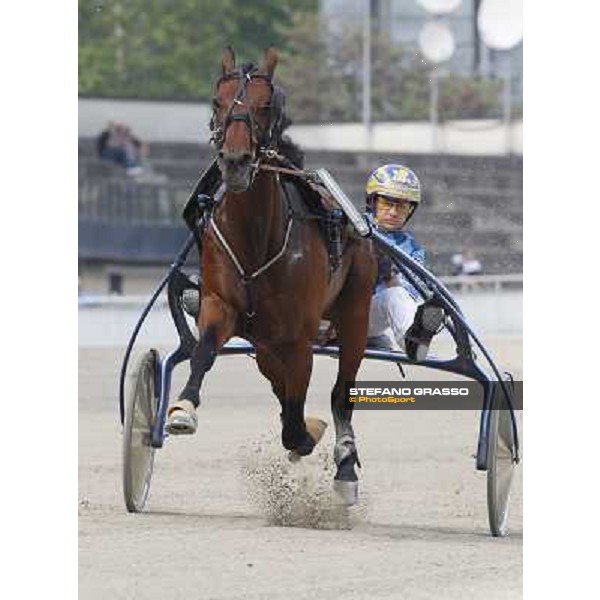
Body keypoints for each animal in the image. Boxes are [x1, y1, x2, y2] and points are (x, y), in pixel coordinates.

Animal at [169, 47, 376, 504]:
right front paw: (182, 410)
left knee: (342, 392)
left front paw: (308, 435)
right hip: (264, 340)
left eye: (265, 106)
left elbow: (298, 413)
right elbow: (204, 353)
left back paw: (344, 462)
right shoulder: (221, 305)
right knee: (279, 383)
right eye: (217, 101)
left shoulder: (298, 335)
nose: (235, 162)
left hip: (356, 310)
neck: (256, 237)